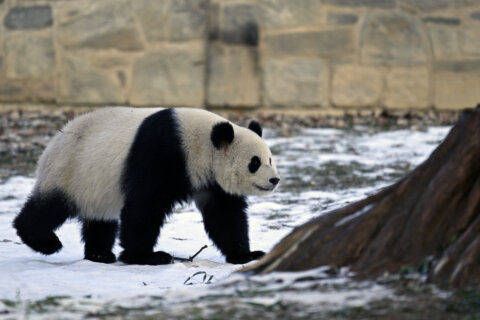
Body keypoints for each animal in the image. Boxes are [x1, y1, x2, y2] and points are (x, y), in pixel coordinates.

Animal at [13, 107, 280, 264]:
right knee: (49, 208)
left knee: (101, 220)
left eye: (270, 159)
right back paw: (45, 242)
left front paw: (246, 255)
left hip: (96, 187)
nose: (274, 180)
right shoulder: (163, 152)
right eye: (254, 163)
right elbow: (144, 206)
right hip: (70, 171)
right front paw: (146, 256)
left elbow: (224, 216)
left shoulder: (210, 182)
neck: (200, 142)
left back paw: (100, 254)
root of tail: (52, 143)